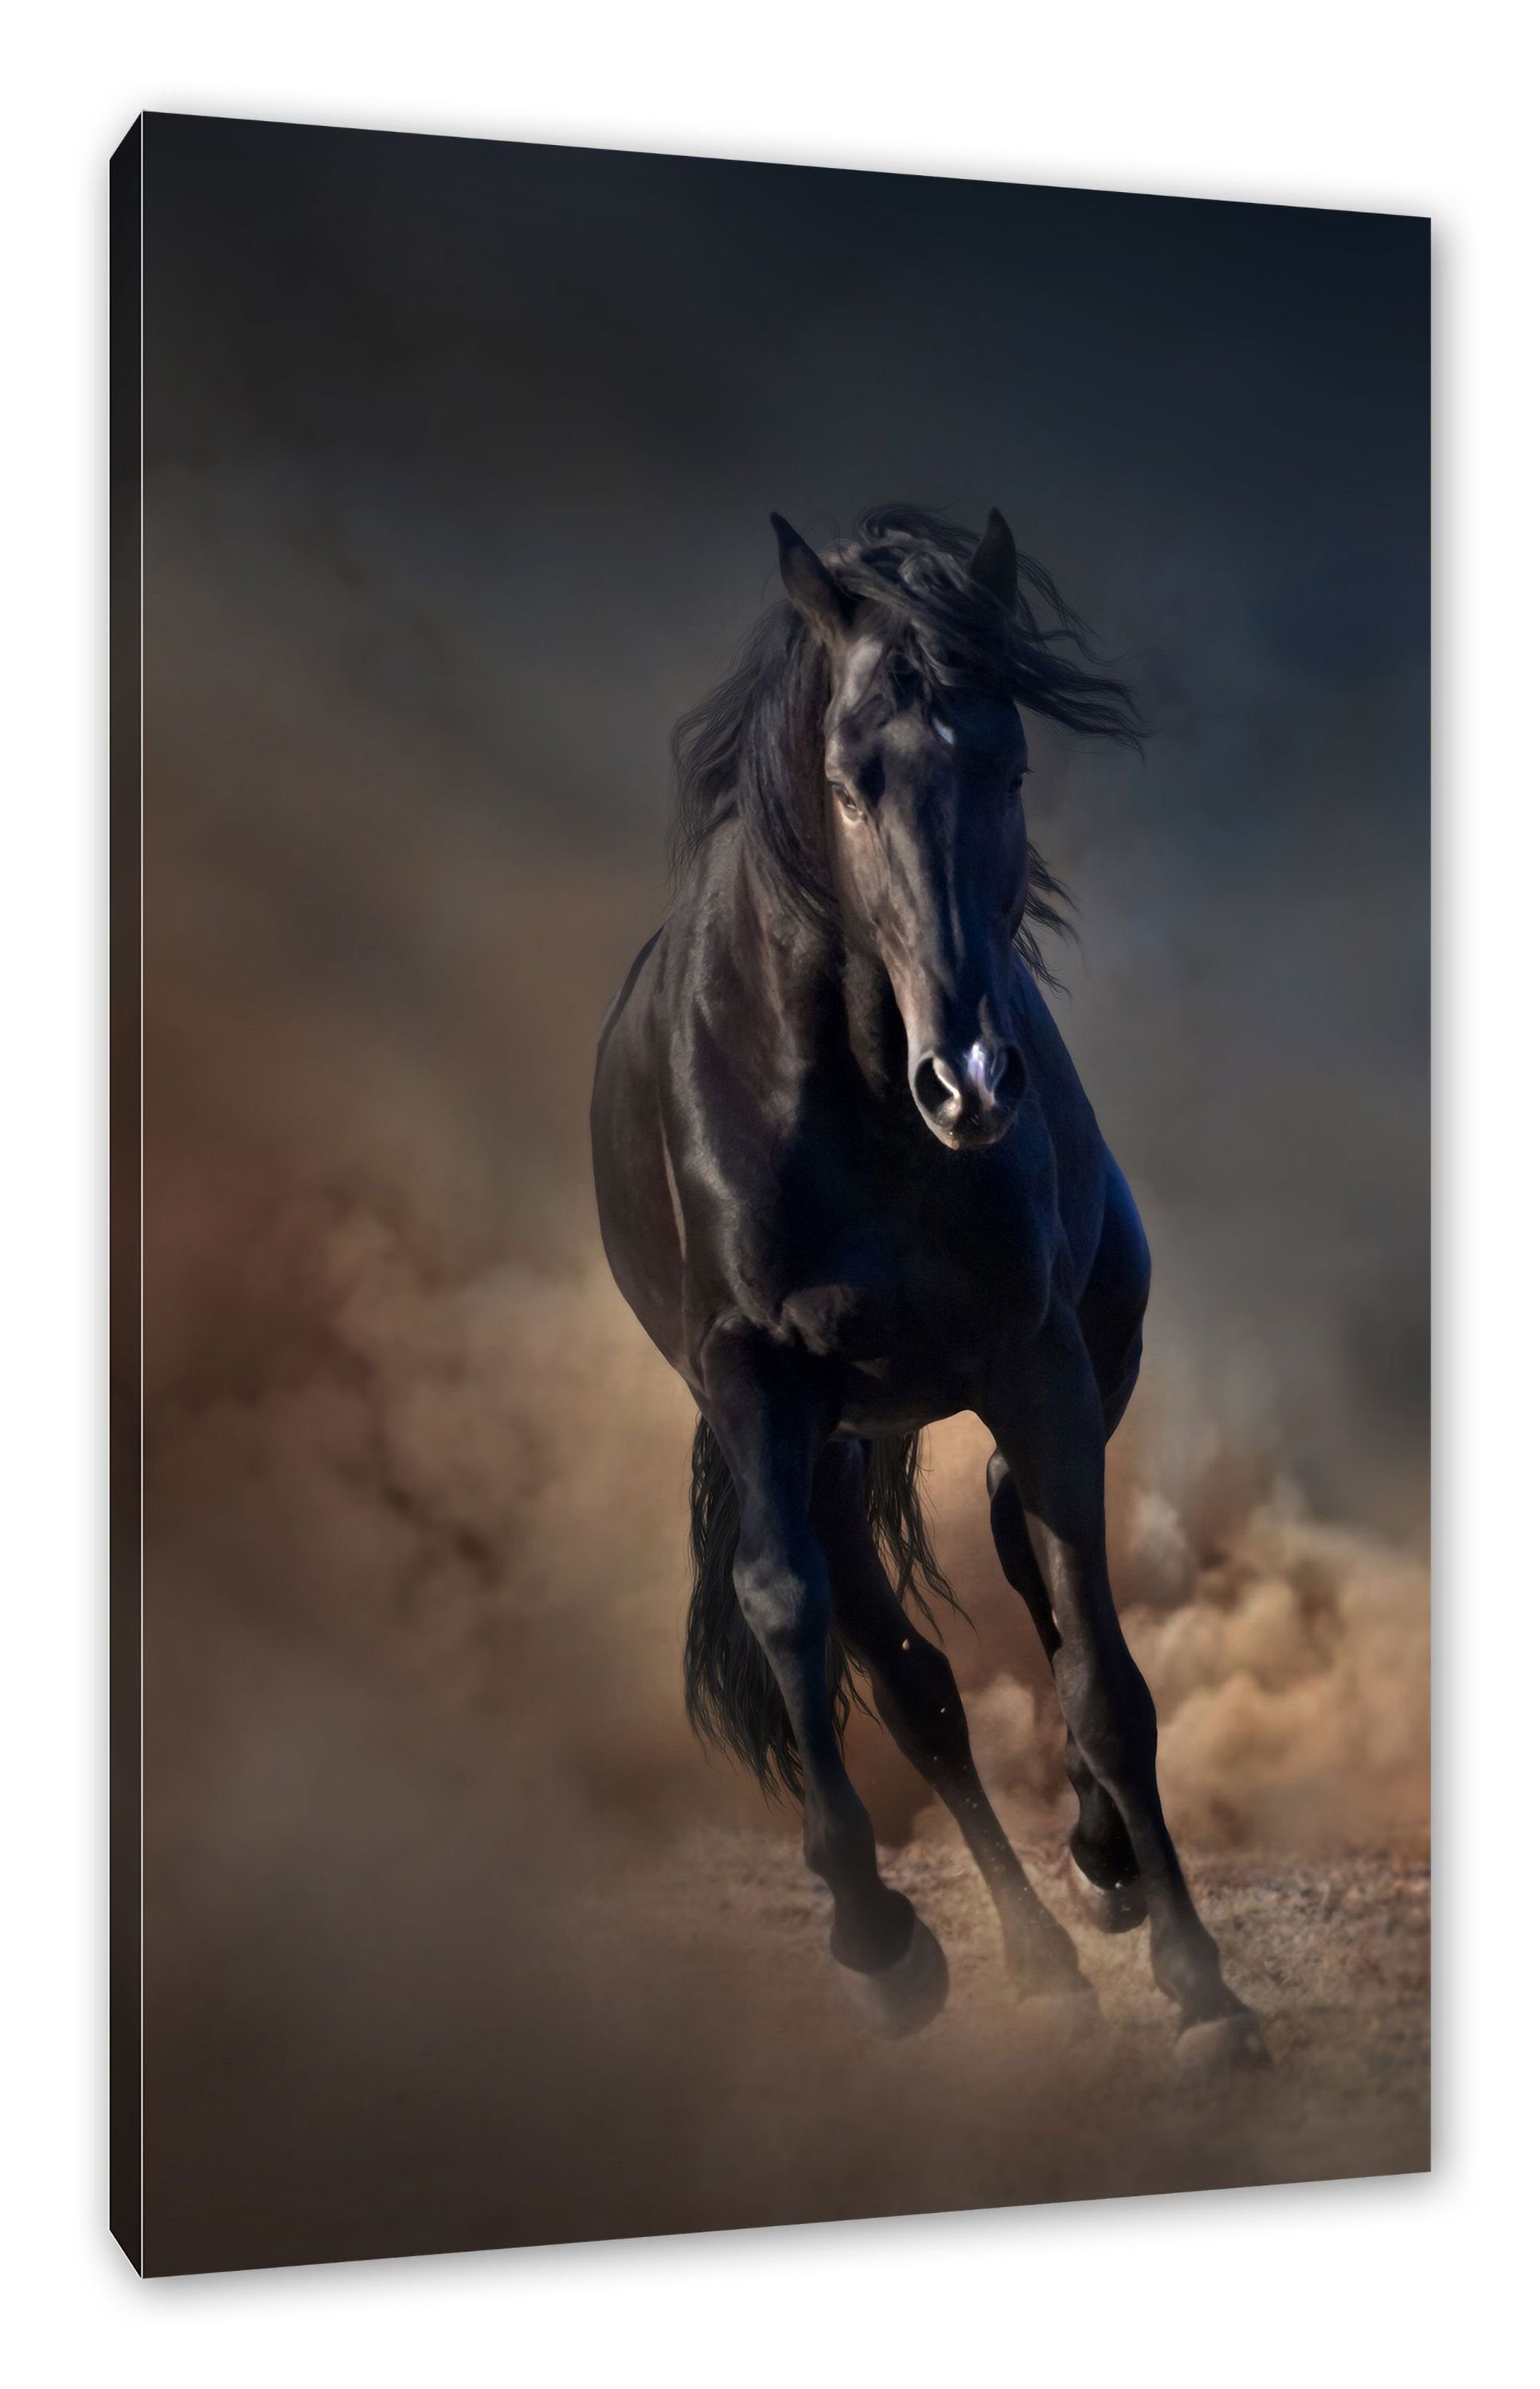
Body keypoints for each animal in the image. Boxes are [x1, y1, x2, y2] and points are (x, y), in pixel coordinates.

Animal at [590, 503, 1266, 2069]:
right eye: (850, 782)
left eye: (1006, 765)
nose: (968, 1083)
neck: (848, 1093)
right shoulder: (752, 1378)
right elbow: (791, 1613)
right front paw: (873, 1938)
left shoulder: (1037, 1367)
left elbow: (1101, 1678)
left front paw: (1200, 1983)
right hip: (831, 1447)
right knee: (912, 1687)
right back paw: (1029, 1961)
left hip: (1040, 1385)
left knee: (1026, 1567)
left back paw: (1099, 1881)